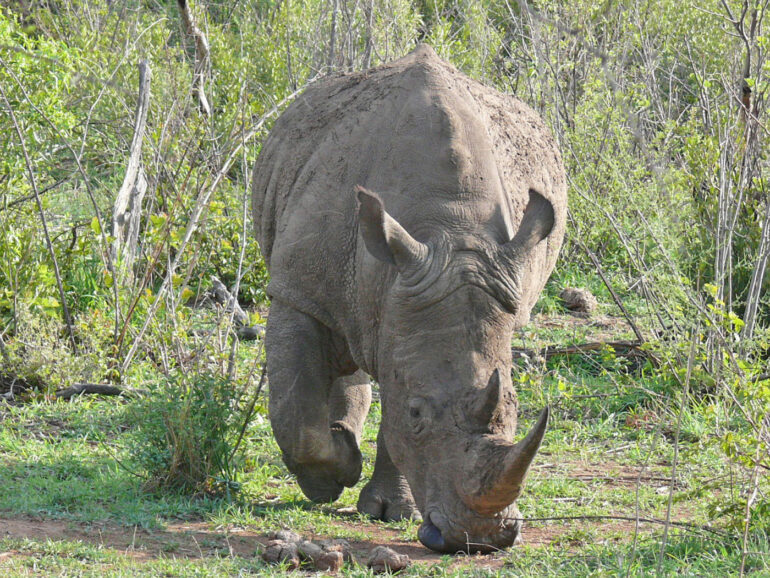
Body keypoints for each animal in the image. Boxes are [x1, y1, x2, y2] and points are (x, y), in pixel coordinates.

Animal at [251, 44, 566, 553]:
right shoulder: (297, 293)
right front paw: (334, 470)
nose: (480, 539)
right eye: (418, 412)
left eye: (516, 407)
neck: (450, 232)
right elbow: (295, 412)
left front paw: (389, 508)